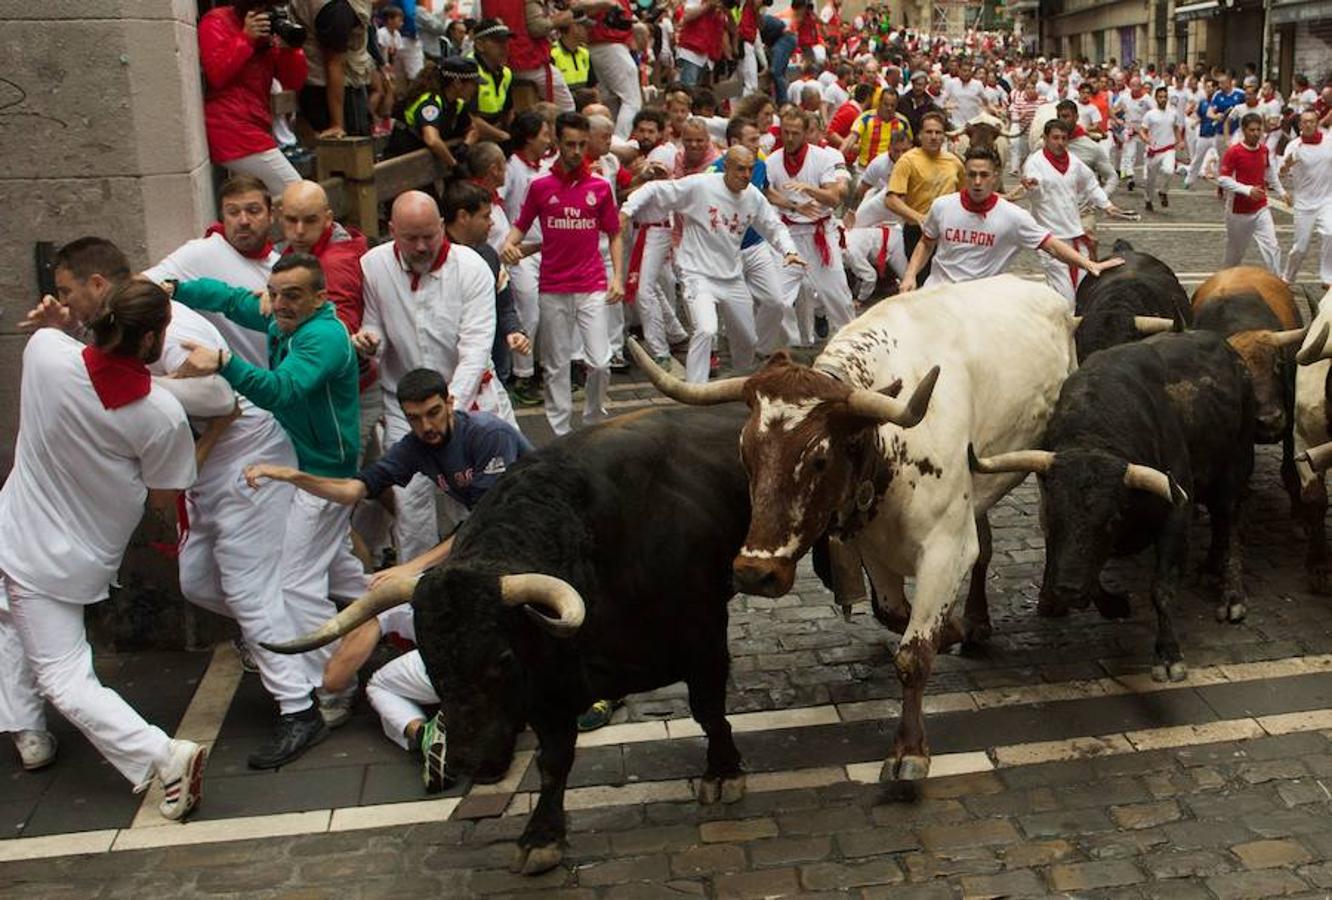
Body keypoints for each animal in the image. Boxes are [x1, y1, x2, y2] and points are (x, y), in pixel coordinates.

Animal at [265, 404, 756, 873]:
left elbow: (709, 712)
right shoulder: (546, 687)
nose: (469, 759)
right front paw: (541, 838)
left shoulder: (705, 637)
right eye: (428, 659)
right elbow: (554, 760)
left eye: (500, 657)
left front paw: (723, 772)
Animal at [628, 272, 1076, 782]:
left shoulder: (945, 548)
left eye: (819, 459)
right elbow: (895, 615)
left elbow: (913, 654)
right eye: (745, 452)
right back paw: (978, 620)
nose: (754, 574)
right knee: (984, 546)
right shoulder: (875, 551)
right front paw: (955, 628)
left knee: (1046, 520)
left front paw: (909, 750)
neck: (888, 443)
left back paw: (1051, 596)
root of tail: (1040, 287)